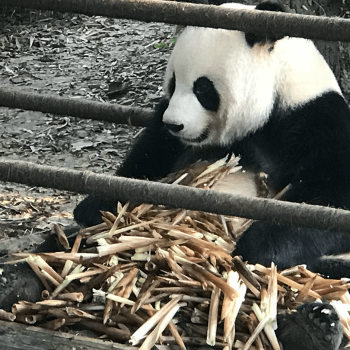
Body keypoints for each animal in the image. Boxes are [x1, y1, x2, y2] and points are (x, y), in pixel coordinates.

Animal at [72, 1, 350, 348]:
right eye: (173, 82)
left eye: (203, 88)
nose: (175, 124)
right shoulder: (168, 137)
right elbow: (147, 160)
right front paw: (94, 204)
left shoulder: (315, 118)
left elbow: (328, 197)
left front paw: (256, 247)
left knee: (329, 271)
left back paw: (313, 327)